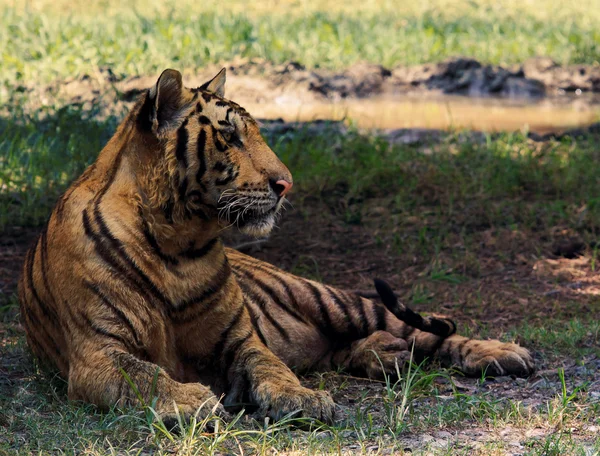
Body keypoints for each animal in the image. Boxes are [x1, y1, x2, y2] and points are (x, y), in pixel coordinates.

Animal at [17, 67, 536, 424]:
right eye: (229, 136)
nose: (287, 184)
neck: (176, 242)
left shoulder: (240, 338)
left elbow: (271, 367)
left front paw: (302, 398)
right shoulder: (97, 353)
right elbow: (142, 373)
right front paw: (190, 398)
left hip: (331, 298)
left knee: (426, 330)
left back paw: (499, 353)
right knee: (349, 348)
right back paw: (386, 357)